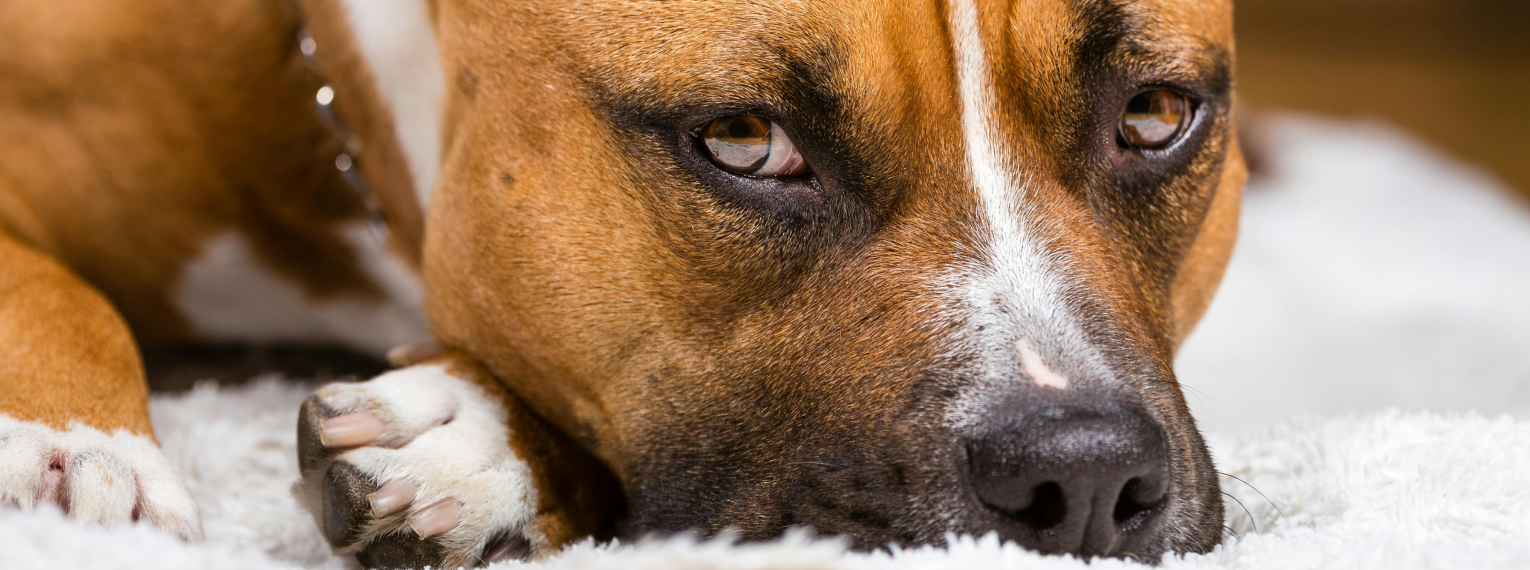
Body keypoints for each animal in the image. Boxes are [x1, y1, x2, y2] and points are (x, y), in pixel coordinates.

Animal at [0, 0, 1242, 565]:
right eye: (744, 141)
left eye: (1155, 114)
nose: (1081, 475)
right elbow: (52, 288)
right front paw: (75, 450)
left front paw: (479, 436)